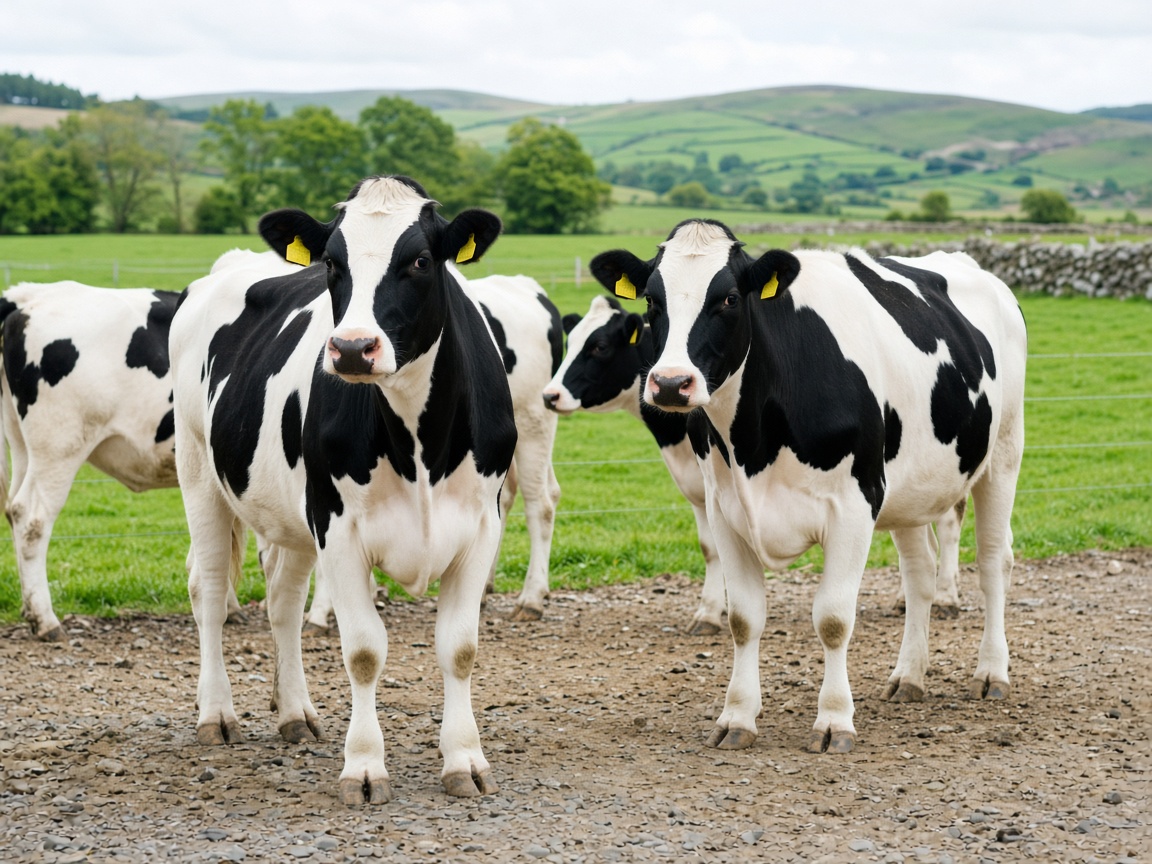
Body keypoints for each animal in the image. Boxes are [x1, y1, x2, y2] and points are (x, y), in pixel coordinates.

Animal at [0, 282, 252, 641]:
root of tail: (30, 295)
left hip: (23, 447)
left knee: (13, 510)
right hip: (59, 447)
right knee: (31, 519)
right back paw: (46, 620)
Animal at [170, 175, 515, 804]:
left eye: (420, 260)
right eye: (332, 262)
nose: (353, 348)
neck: (418, 441)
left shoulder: (482, 523)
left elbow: (459, 647)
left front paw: (464, 760)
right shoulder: (338, 525)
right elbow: (363, 650)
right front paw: (364, 767)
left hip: (292, 511)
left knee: (282, 601)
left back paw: (294, 713)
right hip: (199, 470)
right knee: (207, 591)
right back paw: (217, 714)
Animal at [590, 220, 1026, 754]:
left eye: (729, 298)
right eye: (653, 300)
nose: (671, 384)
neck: (754, 440)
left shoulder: (855, 504)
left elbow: (834, 619)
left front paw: (835, 721)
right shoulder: (724, 509)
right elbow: (744, 619)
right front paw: (737, 717)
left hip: (1003, 452)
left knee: (993, 562)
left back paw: (992, 672)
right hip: (911, 486)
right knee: (919, 574)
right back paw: (910, 675)